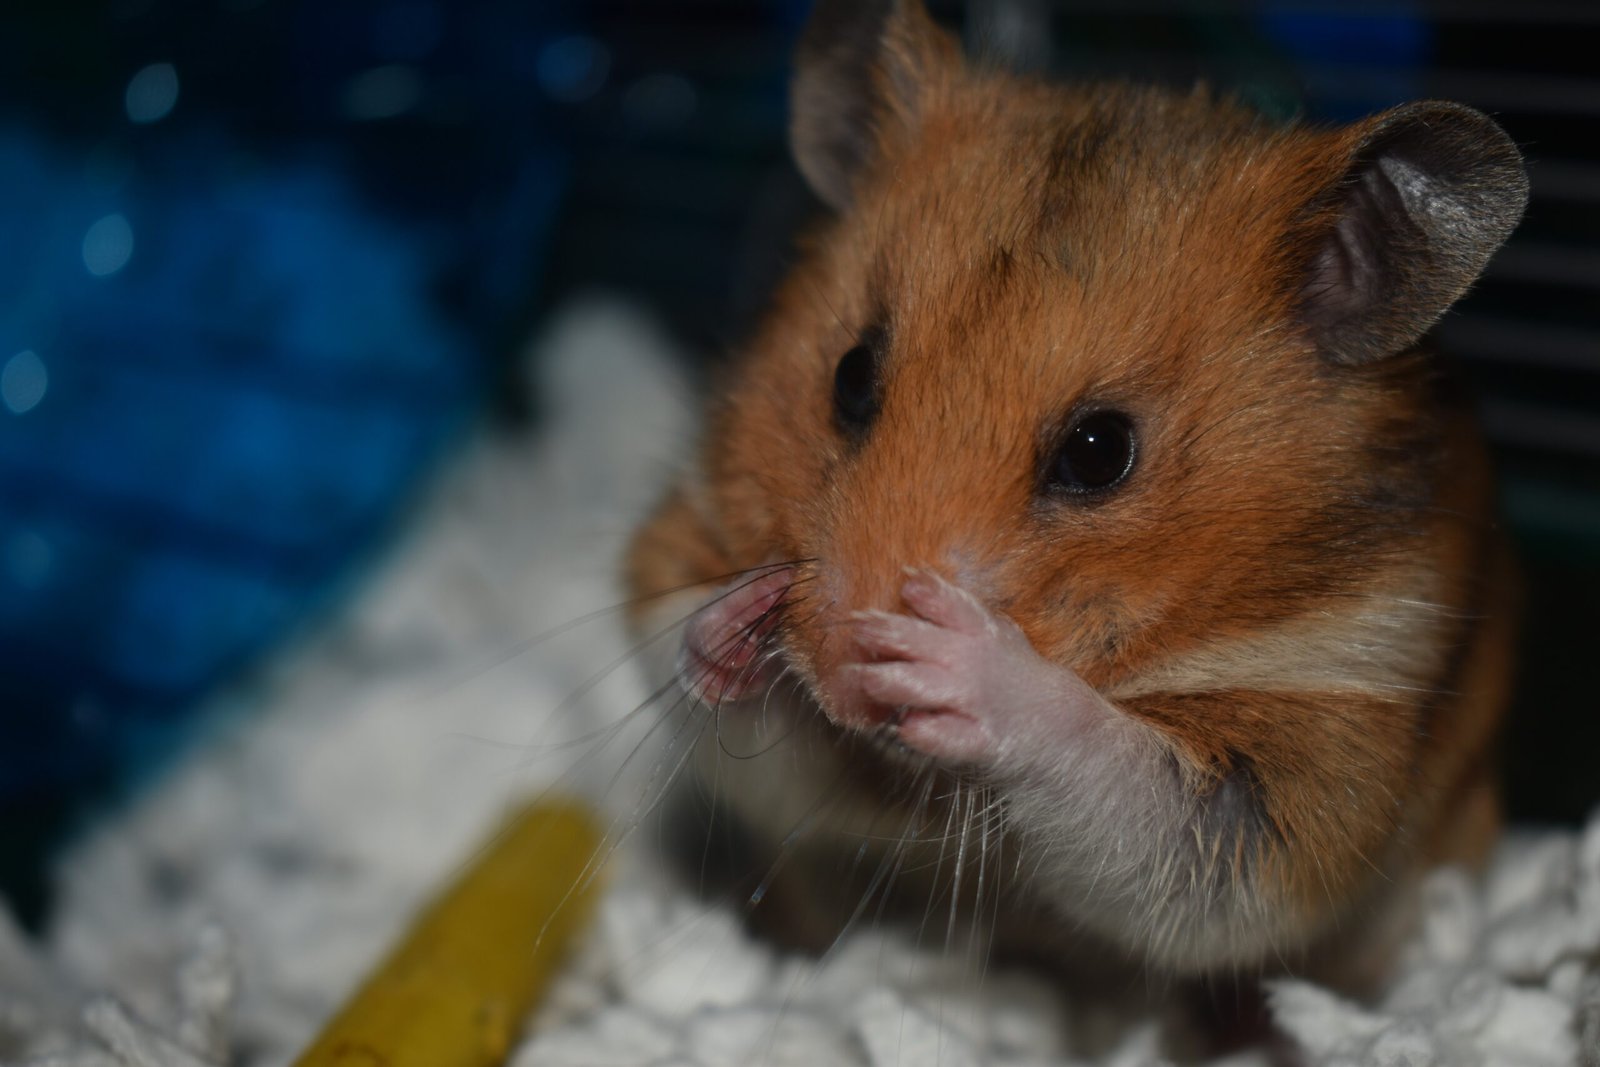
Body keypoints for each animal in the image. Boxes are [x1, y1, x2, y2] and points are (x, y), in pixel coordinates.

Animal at [625, 0, 1526, 989]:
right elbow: (685, 654)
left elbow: (1134, 789)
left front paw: (945, 656)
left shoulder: (1315, 746)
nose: (845, 684)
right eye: (850, 377)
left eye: (1100, 452)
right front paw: (744, 616)